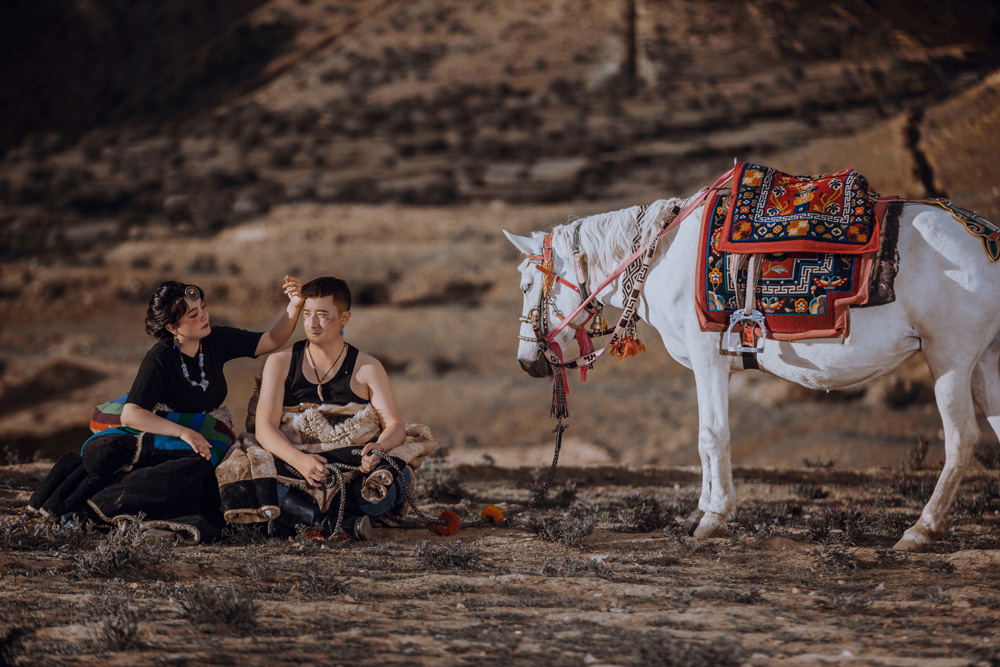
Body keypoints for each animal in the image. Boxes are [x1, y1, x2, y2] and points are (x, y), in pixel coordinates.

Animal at [504, 190, 1000, 552]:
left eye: (527, 285)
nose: (528, 363)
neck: (660, 257)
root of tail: (988, 239)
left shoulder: (708, 358)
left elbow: (712, 436)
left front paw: (715, 517)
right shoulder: (708, 368)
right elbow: (705, 440)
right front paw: (701, 510)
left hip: (950, 358)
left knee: (962, 439)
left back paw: (921, 529)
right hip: (986, 363)